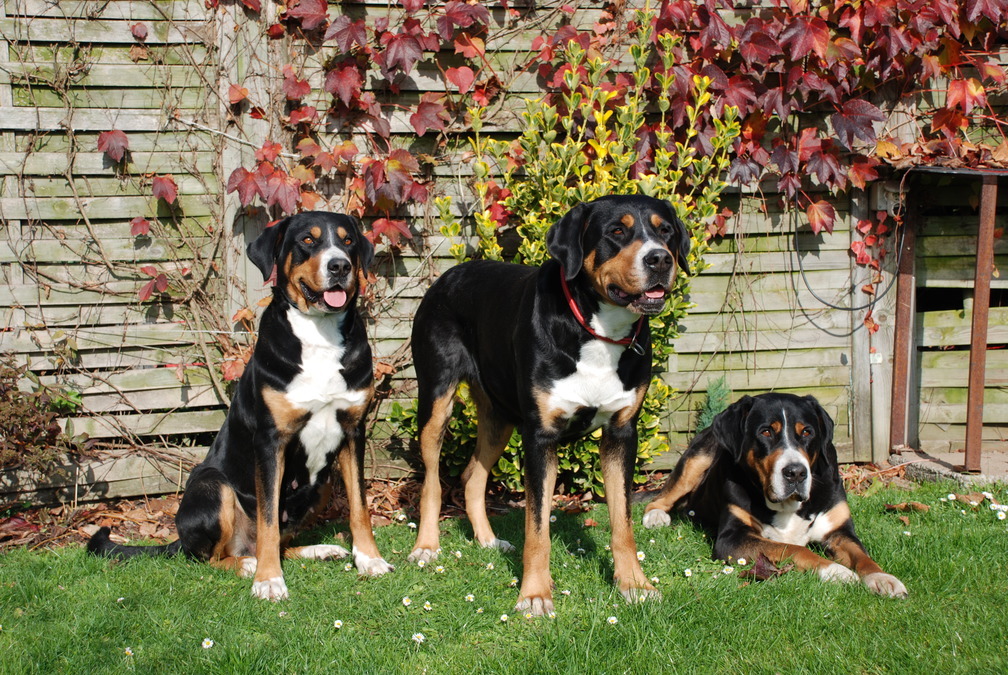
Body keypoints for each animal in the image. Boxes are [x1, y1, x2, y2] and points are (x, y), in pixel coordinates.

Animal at [87, 212, 393, 604]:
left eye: (348, 241)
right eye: (308, 241)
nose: (339, 265)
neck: (319, 336)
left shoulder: (353, 431)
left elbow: (359, 508)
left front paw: (369, 560)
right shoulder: (270, 440)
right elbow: (268, 519)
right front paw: (268, 580)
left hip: (321, 485)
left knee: (277, 542)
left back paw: (318, 550)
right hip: (213, 485)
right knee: (212, 556)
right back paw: (248, 563)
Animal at [405, 195, 689, 620]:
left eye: (665, 230)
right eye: (616, 231)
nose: (659, 259)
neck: (599, 331)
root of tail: (449, 273)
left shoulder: (622, 433)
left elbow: (623, 522)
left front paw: (634, 584)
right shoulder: (540, 437)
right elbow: (536, 528)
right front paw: (535, 594)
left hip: (499, 417)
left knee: (472, 475)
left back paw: (488, 540)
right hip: (436, 400)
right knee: (433, 482)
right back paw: (426, 546)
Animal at [641, 394, 911, 600]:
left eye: (807, 432)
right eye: (766, 432)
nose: (796, 473)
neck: (788, 505)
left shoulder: (839, 530)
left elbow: (862, 556)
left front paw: (883, 578)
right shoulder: (732, 538)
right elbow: (792, 548)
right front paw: (836, 571)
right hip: (698, 458)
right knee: (660, 497)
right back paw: (656, 517)